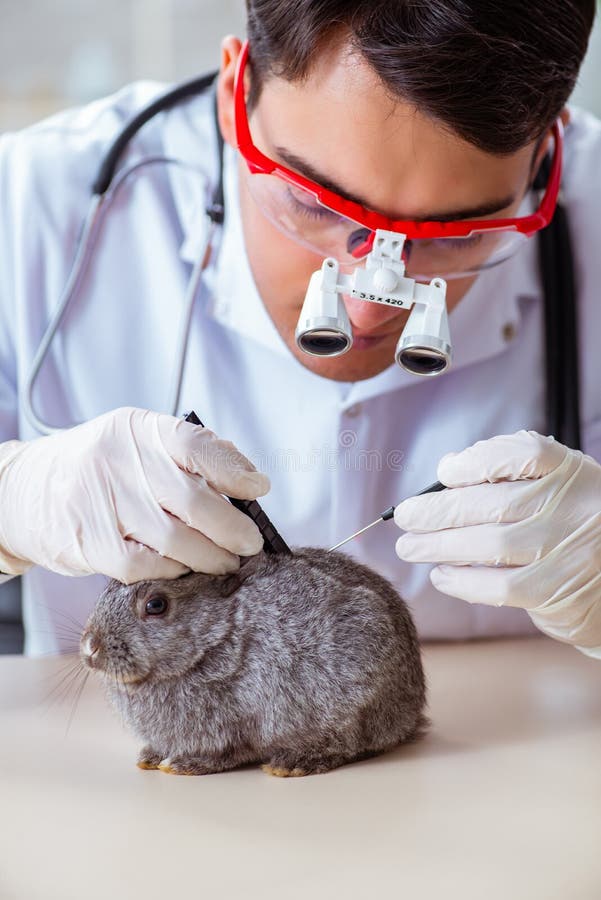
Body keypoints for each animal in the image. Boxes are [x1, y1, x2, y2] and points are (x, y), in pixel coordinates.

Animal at [80, 546, 428, 777]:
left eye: (156, 605)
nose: (90, 647)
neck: (215, 637)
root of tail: (411, 711)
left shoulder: (233, 721)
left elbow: (229, 750)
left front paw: (182, 765)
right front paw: (151, 756)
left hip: (357, 692)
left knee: (351, 743)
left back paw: (292, 763)